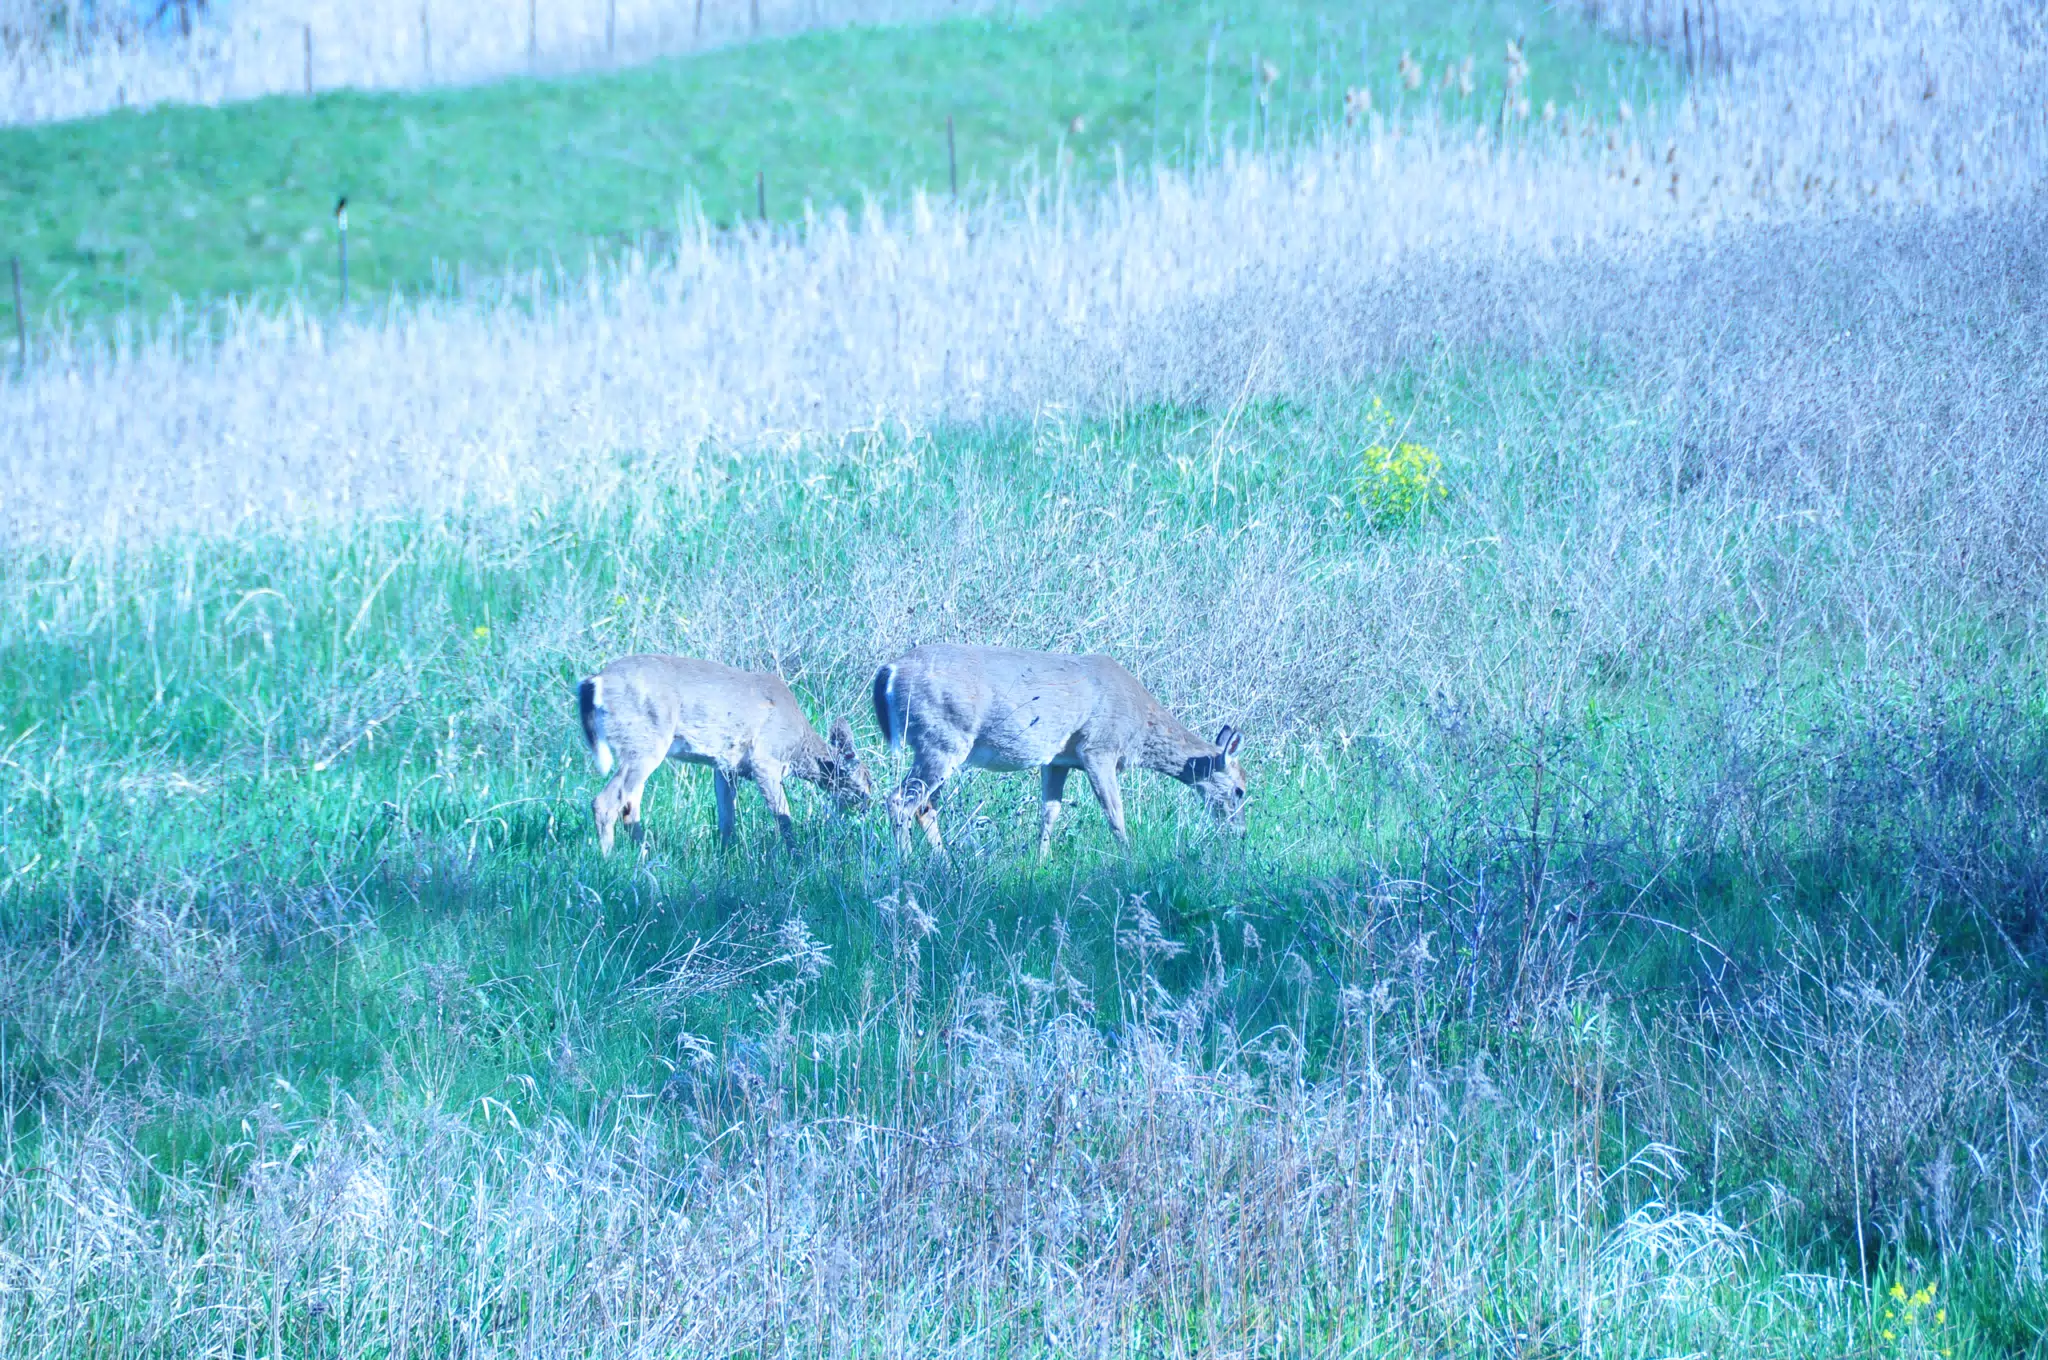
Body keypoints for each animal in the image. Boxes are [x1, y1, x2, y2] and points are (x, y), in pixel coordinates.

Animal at [577, 654, 872, 855]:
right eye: (865, 783)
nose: (868, 806)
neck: (798, 746)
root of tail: (596, 681)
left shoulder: (725, 767)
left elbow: (727, 818)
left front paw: (726, 856)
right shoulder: (765, 759)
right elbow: (783, 816)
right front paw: (795, 856)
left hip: (640, 747)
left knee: (630, 805)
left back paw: (645, 856)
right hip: (646, 741)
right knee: (606, 801)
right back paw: (610, 859)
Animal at [870, 644, 1246, 855]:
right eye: (1241, 790)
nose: (1240, 832)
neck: (1140, 726)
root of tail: (889, 670)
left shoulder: (1056, 760)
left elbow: (1049, 812)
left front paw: (1041, 862)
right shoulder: (1098, 747)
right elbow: (1115, 814)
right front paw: (1131, 859)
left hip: (938, 746)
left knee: (924, 805)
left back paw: (943, 863)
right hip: (942, 739)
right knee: (900, 800)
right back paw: (905, 864)